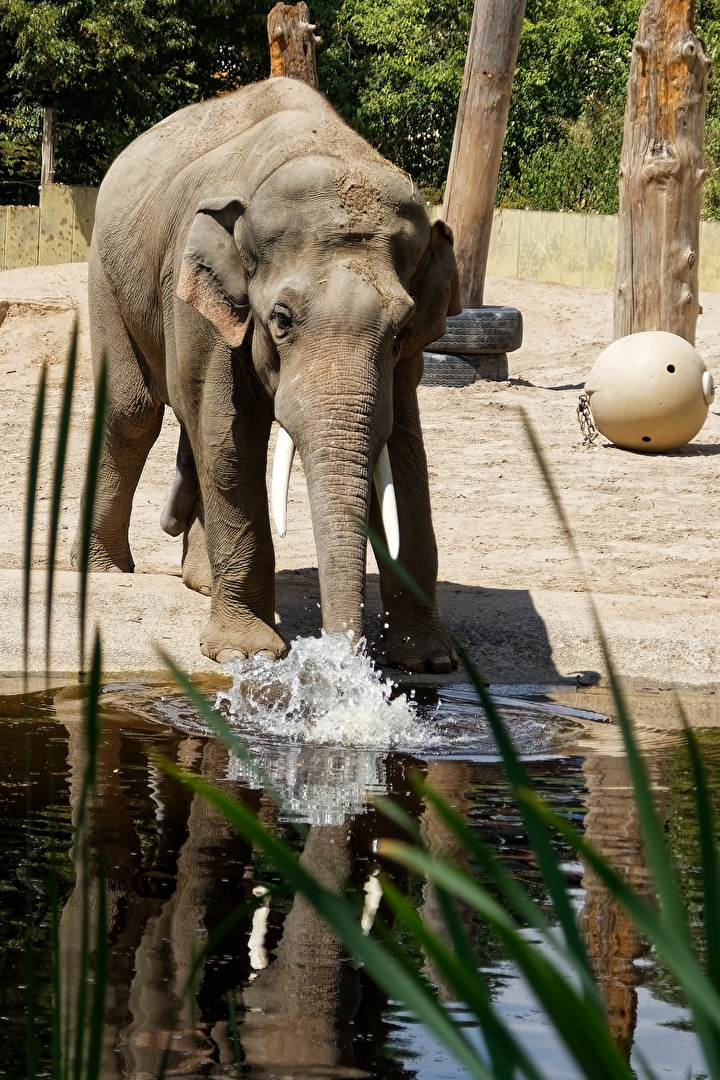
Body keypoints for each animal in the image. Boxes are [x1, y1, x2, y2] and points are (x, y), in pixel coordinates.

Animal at [72, 76, 461, 673]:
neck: (322, 149)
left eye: (399, 330)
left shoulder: (408, 356)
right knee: (133, 413)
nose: (345, 664)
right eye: (280, 320)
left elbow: (405, 452)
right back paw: (105, 569)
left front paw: (426, 662)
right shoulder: (201, 306)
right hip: (107, 276)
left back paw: (200, 582)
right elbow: (229, 441)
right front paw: (243, 653)